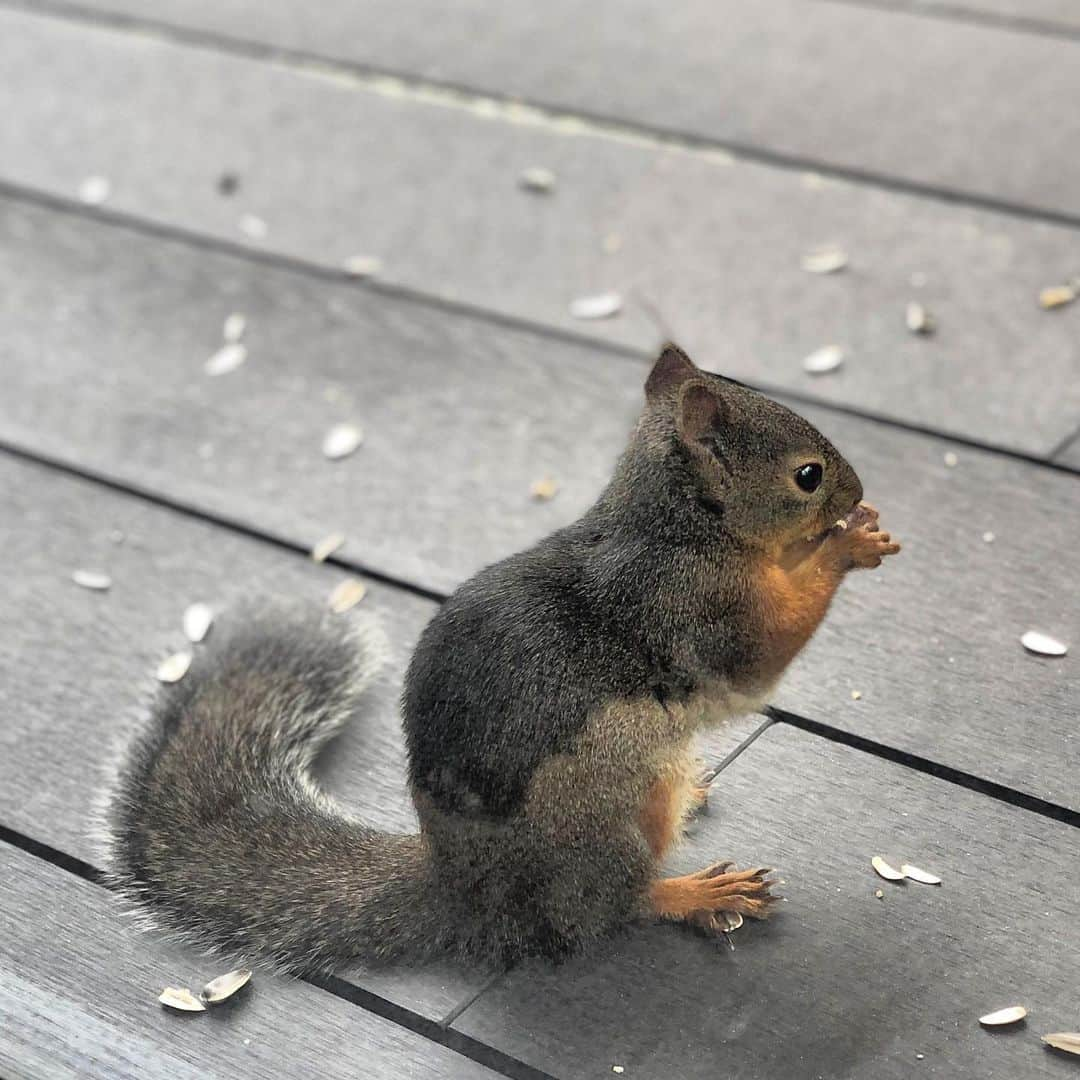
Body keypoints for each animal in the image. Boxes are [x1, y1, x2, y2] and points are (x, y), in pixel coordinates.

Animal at [107, 343, 902, 972]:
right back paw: (692, 893)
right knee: (612, 909)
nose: (859, 490)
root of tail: (466, 892)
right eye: (807, 475)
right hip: (605, 817)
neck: (679, 526)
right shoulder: (698, 610)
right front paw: (846, 545)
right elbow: (762, 655)